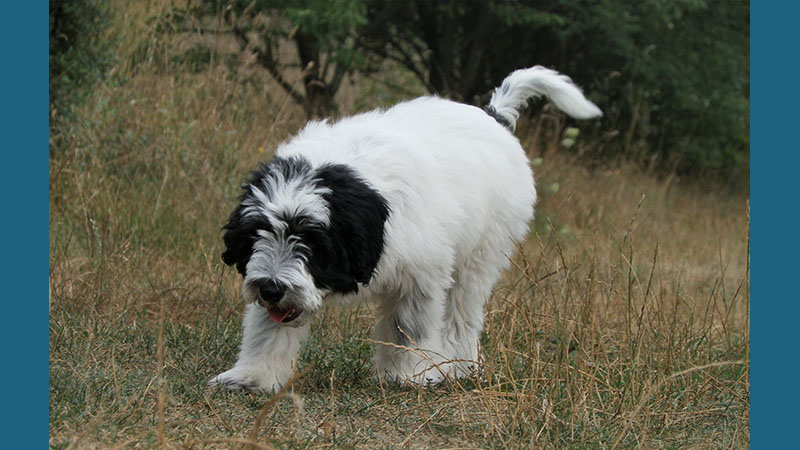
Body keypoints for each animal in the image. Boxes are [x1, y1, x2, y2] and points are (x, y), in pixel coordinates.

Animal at [209, 65, 596, 392]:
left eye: (312, 242)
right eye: (257, 234)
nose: (271, 288)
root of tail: (492, 115)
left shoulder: (420, 276)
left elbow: (408, 328)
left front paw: (407, 375)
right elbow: (266, 329)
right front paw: (253, 376)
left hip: (482, 253)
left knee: (462, 311)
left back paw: (456, 364)